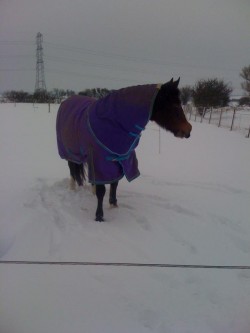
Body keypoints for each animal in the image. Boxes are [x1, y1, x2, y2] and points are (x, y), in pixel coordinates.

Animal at [56, 77, 191, 220]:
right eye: (174, 105)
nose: (188, 130)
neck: (113, 122)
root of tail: (67, 101)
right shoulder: (100, 161)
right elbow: (102, 190)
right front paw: (99, 216)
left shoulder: (120, 159)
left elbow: (114, 183)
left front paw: (114, 205)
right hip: (70, 153)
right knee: (72, 170)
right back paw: (72, 189)